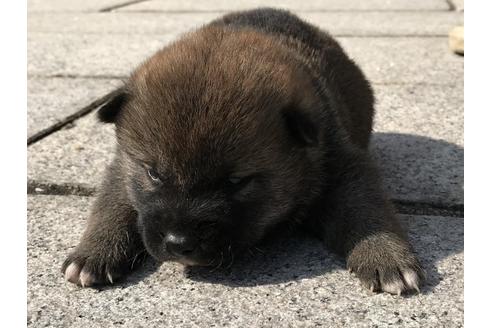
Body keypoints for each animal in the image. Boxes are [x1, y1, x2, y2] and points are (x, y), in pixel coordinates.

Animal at [62, 8, 422, 294]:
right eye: (153, 173)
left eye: (236, 181)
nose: (178, 243)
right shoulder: (122, 168)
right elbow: (113, 204)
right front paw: (94, 251)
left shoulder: (343, 165)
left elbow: (366, 209)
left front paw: (385, 254)